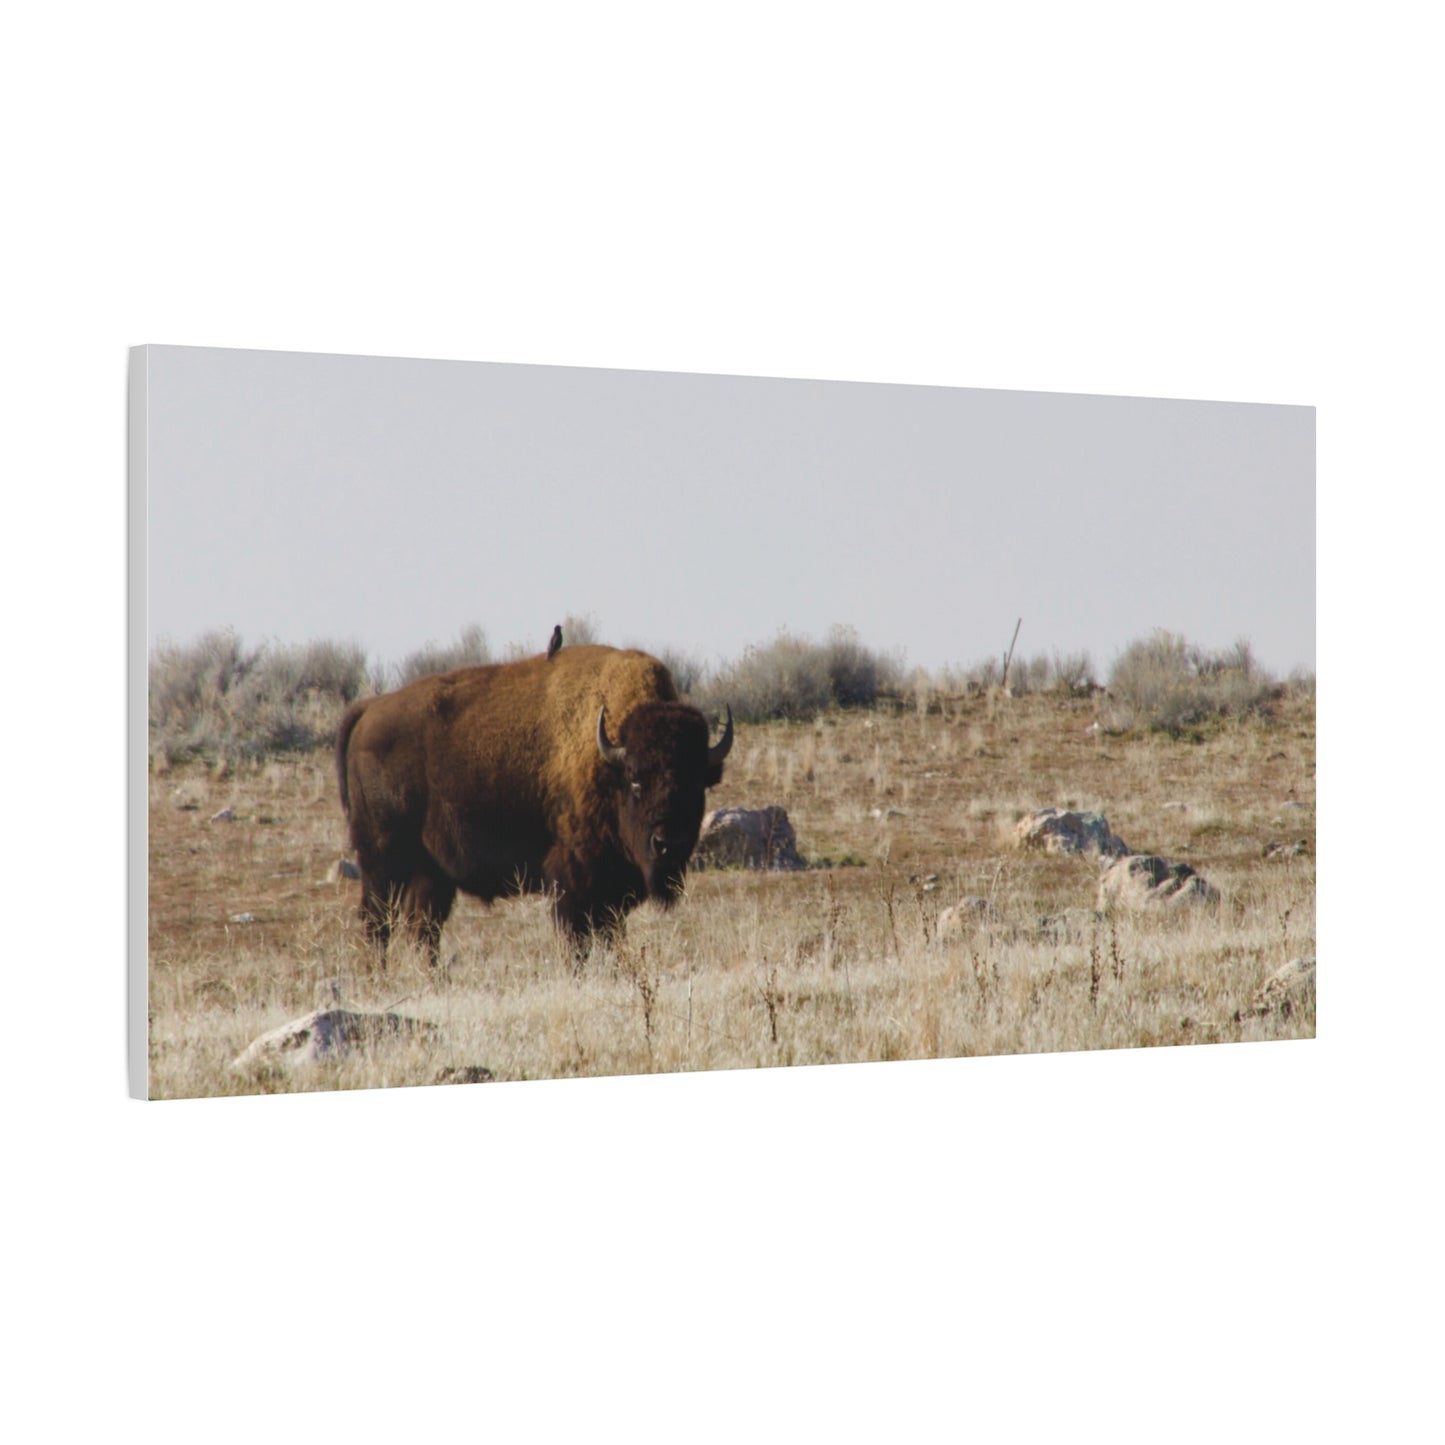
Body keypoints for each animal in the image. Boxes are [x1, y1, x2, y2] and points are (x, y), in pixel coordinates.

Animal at [336, 645, 732, 962]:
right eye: (636, 780)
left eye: (697, 784)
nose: (668, 844)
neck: (607, 761)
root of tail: (369, 710)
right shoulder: (574, 881)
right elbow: (578, 940)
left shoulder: (612, 892)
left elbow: (608, 936)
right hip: (382, 861)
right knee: (377, 923)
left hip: (429, 871)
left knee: (422, 929)